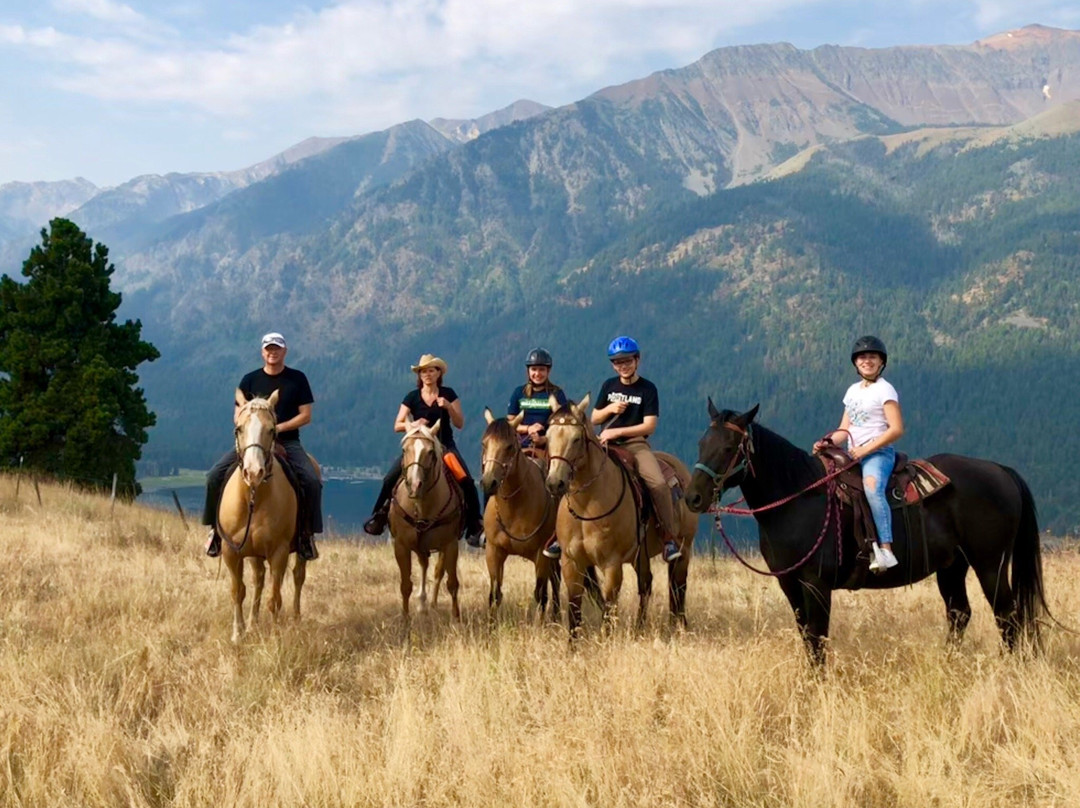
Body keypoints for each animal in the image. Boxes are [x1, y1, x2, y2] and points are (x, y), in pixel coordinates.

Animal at [218, 389, 314, 643]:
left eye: (272, 430)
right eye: (238, 428)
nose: (253, 472)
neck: (253, 498)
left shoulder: (279, 553)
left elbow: (275, 599)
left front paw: (274, 636)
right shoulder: (231, 551)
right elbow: (237, 591)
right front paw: (238, 633)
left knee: (298, 576)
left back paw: (296, 619)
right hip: (253, 552)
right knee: (258, 579)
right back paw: (253, 624)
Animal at [388, 416, 462, 622]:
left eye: (430, 452)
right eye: (404, 450)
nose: (414, 485)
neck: (422, 505)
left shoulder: (451, 544)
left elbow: (452, 583)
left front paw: (456, 618)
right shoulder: (401, 545)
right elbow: (405, 585)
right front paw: (405, 620)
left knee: (437, 571)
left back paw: (432, 604)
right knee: (424, 565)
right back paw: (422, 603)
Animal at [480, 409, 561, 621]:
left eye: (509, 446)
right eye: (484, 443)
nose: (488, 482)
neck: (514, 508)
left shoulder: (541, 554)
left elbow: (540, 595)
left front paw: (540, 626)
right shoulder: (493, 551)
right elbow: (494, 595)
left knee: (556, 581)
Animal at [544, 394, 698, 636]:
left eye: (577, 439)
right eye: (547, 436)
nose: (554, 483)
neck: (586, 505)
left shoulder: (612, 564)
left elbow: (608, 609)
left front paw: (605, 639)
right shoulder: (571, 561)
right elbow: (574, 611)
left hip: (684, 546)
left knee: (678, 587)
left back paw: (678, 626)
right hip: (641, 555)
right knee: (647, 584)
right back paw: (640, 628)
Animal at [684, 400, 1049, 664]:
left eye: (729, 447)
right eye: (702, 442)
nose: (693, 497)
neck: (798, 498)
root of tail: (1000, 470)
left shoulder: (816, 584)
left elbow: (817, 636)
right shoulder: (789, 583)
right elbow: (806, 636)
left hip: (990, 564)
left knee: (1007, 617)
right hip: (952, 566)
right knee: (959, 614)